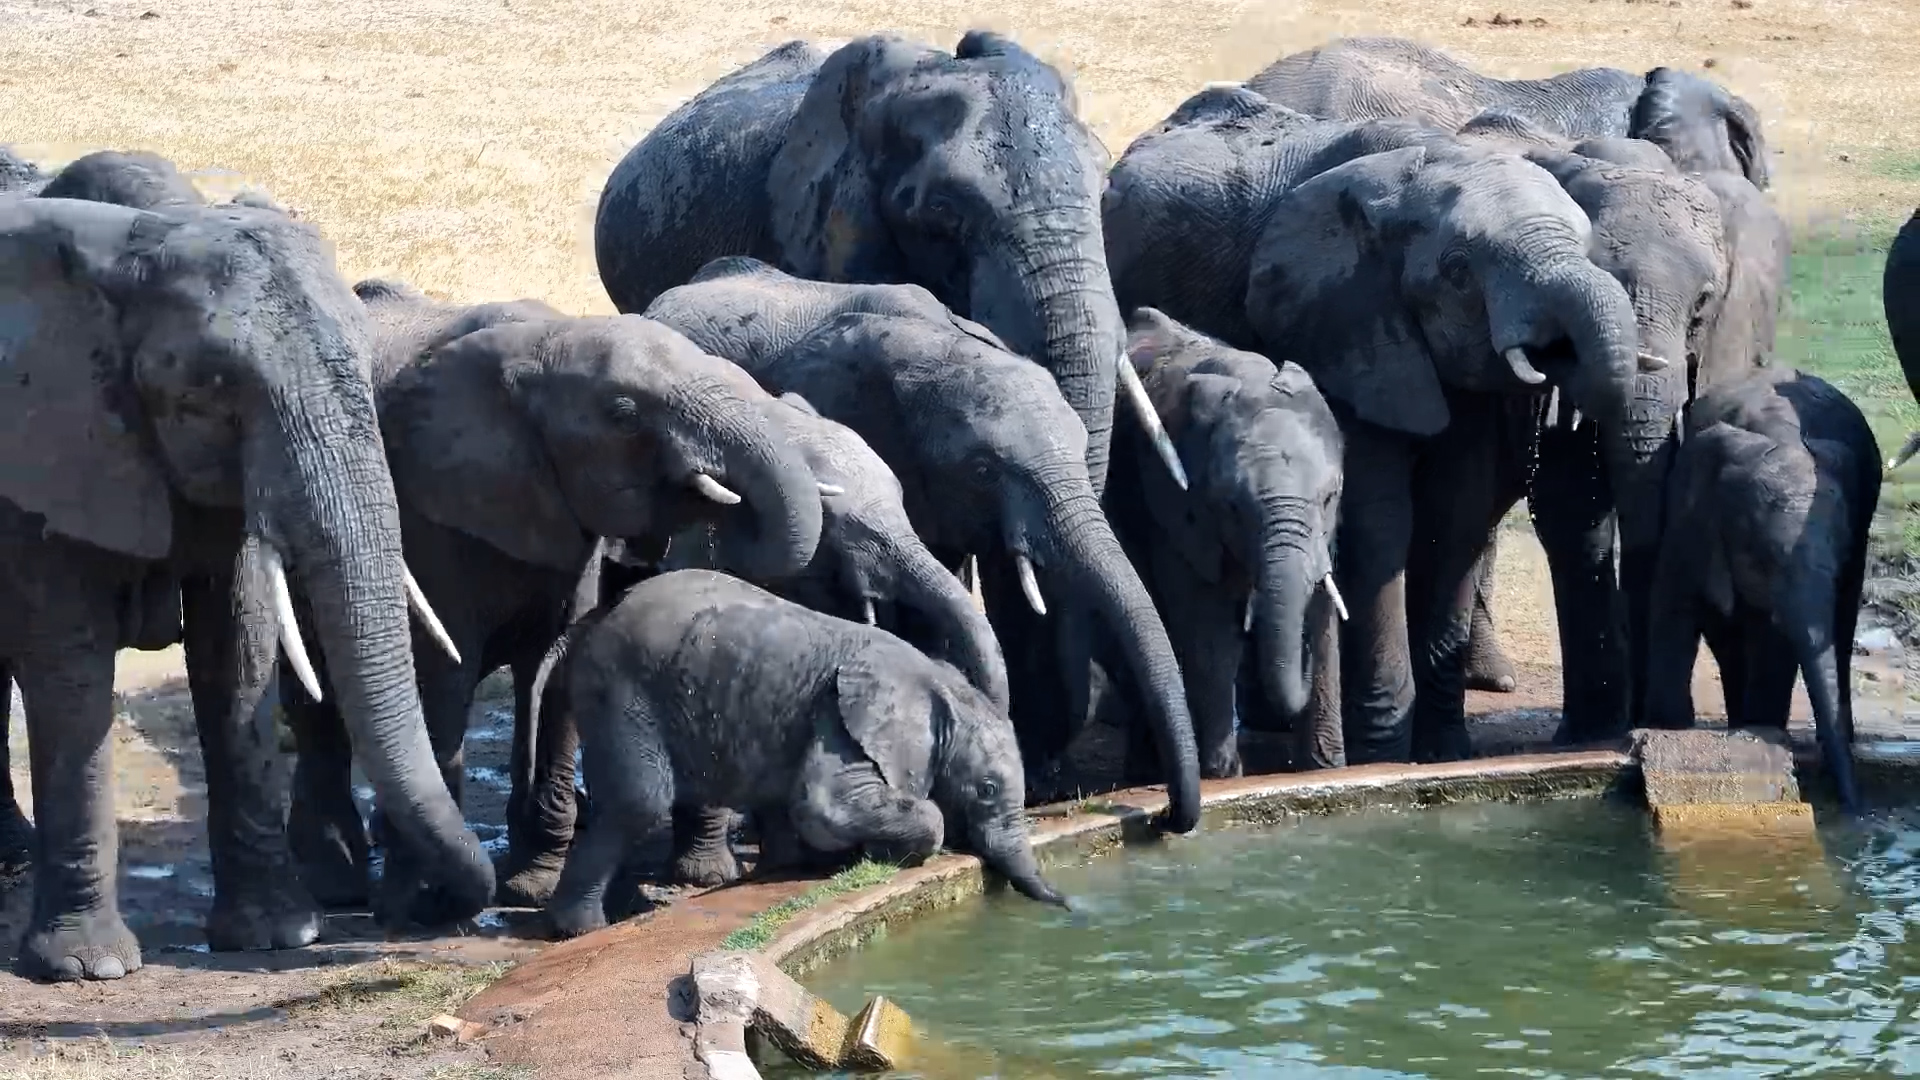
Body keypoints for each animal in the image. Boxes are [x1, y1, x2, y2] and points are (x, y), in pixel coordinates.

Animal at [0, 192, 494, 980]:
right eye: (213, 392)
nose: (420, 916)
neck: (127, 254)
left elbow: (237, 652)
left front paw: (278, 935)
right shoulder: (37, 453)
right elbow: (70, 673)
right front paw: (86, 967)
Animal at [282, 278, 828, 911]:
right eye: (624, 416)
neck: (543, 341)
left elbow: (556, 662)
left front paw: (530, 886)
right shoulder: (425, 510)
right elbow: (445, 674)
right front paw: (423, 903)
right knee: (314, 706)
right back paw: (337, 885)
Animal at [540, 568, 1063, 937]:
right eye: (987, 788)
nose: (1065, 905)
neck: (937, 683)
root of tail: (588, 624)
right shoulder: (840, 719)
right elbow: (823, 805)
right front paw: (888, 854)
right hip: (621, 692)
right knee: (640, 804)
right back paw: (583, 929)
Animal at [1103, 307, 1346, 775]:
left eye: (1330, 496)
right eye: (1232, 507)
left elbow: (1324, 605)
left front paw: (1326, 768)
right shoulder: (1173, 499)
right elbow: (1209, 620)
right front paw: (1222, 772)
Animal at [1642, 369, 1878, 813]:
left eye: (1838, 559)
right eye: (1763, 557)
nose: (1855, 810)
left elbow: (1776, 644)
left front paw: (1759, 733)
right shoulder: (1687, 515)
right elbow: (1672, 615)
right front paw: (1667, 729)